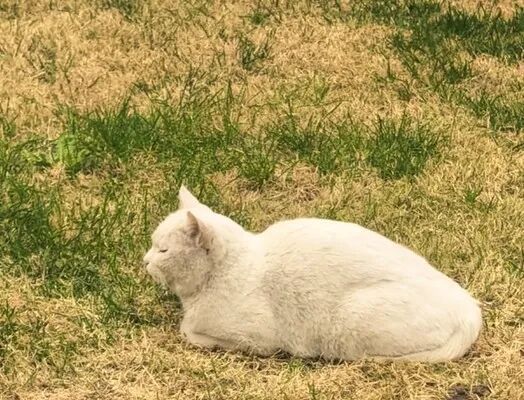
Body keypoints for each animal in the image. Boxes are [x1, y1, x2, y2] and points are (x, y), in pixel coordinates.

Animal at [143, 186, 482, 361]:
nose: (145, 260)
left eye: (163, 250)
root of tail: (470, 309)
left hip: (352, 321)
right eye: (154, 245)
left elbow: (190, 332)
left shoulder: (258, 338)